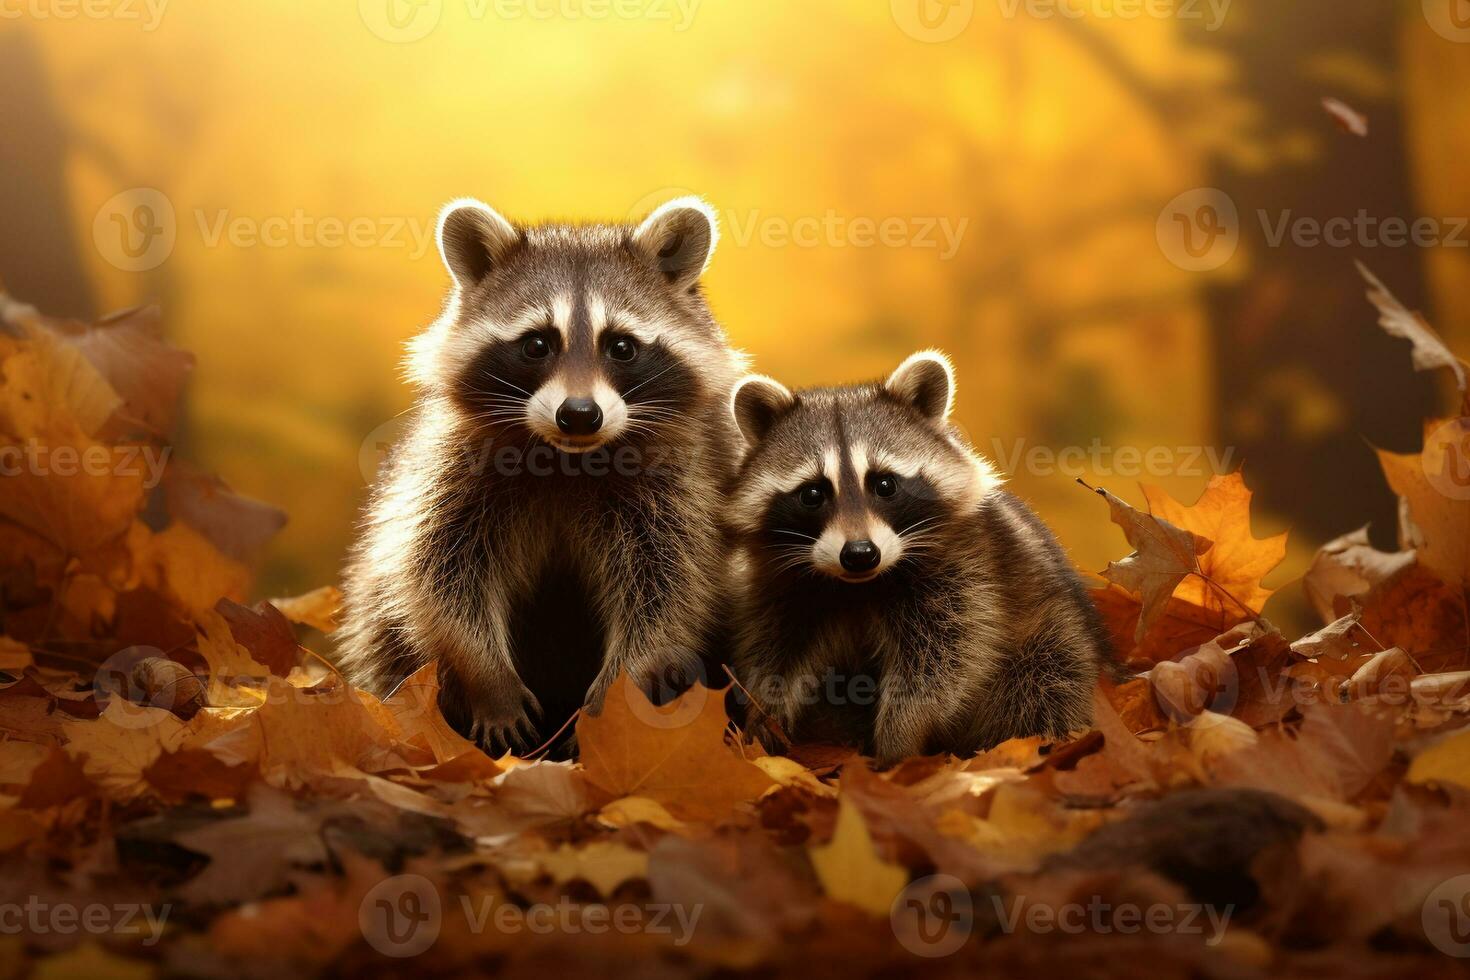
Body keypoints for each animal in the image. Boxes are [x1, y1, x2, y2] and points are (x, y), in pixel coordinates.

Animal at [336, 195, 746, 758]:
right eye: (536, 345)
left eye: (621, 347)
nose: (579, 415)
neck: (566, 458)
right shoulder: (452, 470)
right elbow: (438, 576)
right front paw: (487, 679)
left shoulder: (684, 481)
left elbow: (670, 591)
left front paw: (615, 701)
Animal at [723, 352, 1105, 764]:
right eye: (812, 494)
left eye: (885, 484)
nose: (860, 554)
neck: (858, 586)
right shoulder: (783, 588)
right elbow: (774, 653)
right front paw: (763, 718)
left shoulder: (966, 571)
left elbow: (943, 664)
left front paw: (899, 741)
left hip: (1056, 639)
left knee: (1046, 685)